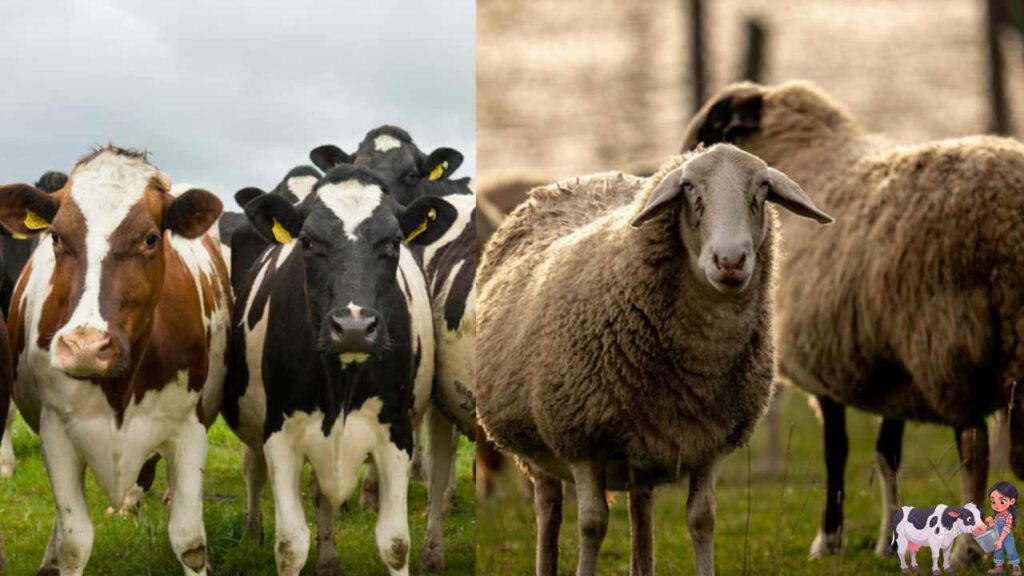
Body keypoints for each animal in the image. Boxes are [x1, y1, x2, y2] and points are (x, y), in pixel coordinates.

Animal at [477, 143, 832, 576]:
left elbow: (702, 519)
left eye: (762, 189)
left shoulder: (708, 445)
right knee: (549, 508)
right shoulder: (581, 441)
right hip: (537, 448)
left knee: (640, 509)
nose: (730, 261)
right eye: (689, 189)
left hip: (642, 448)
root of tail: (575, 181)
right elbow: (592, 525)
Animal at [681, 80, 1024, 562]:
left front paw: (828, 540)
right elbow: (885, 455)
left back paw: (966, 553)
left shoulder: (828, 363)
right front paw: (890, 539)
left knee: (973, 448)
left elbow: (836, 453)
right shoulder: (889, 367)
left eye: (712, 128)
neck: (805, 157)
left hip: (951, 344)